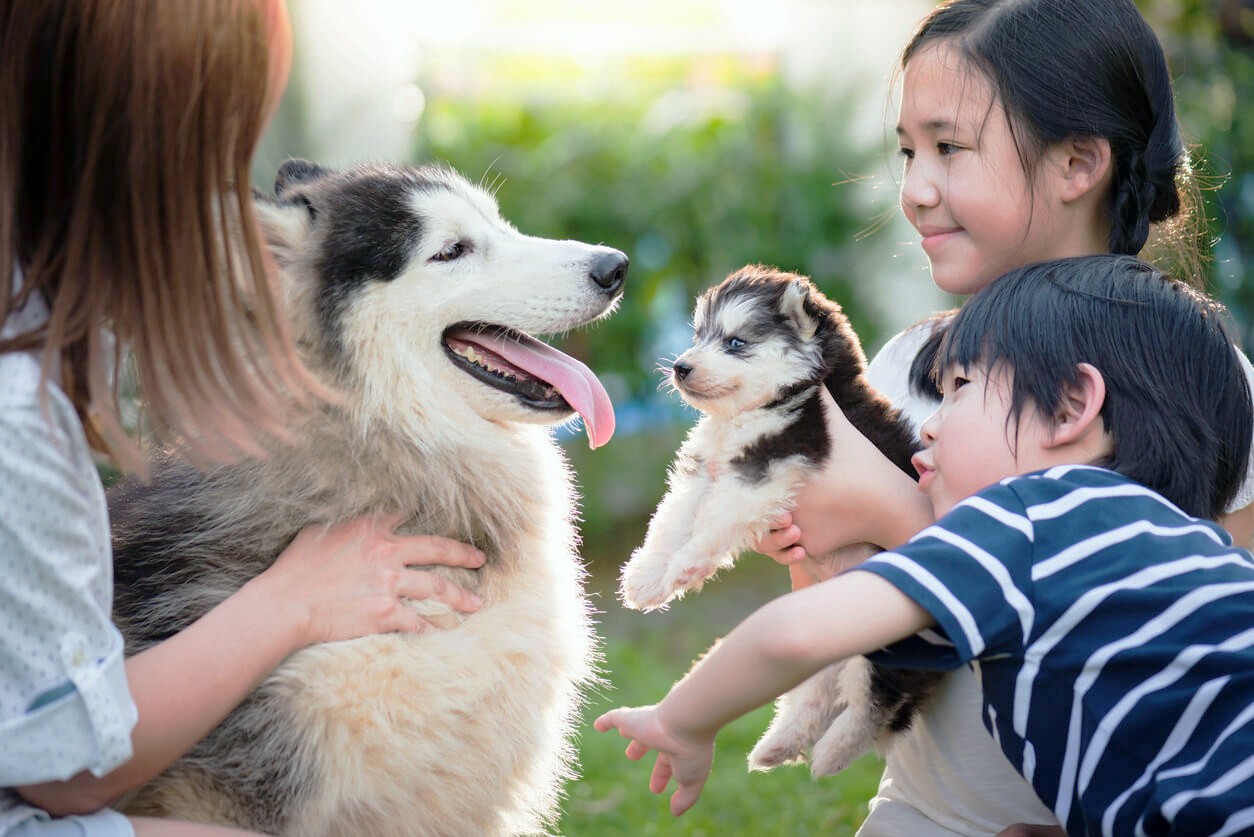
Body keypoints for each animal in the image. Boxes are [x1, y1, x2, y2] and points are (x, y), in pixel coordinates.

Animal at [621, 264, 937, 778]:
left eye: (735, 342)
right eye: (699, 336)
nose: (680, 366)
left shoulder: (771, 459)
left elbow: (714, 521)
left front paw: (686, 565)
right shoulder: (704, 469)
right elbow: (671, 519)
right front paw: (648, 578)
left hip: (884, 630)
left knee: (878, 699)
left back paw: (831, 754)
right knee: (817, 693)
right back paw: (779, 745)